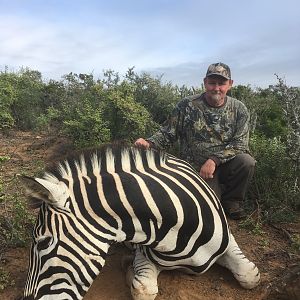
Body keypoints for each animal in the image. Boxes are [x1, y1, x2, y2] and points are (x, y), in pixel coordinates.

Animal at [19, 144, 260, 298]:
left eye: (42, 243)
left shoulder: (228, 240)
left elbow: (250, 275)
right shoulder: (143, 253)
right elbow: (143, 290)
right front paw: (129, 269)